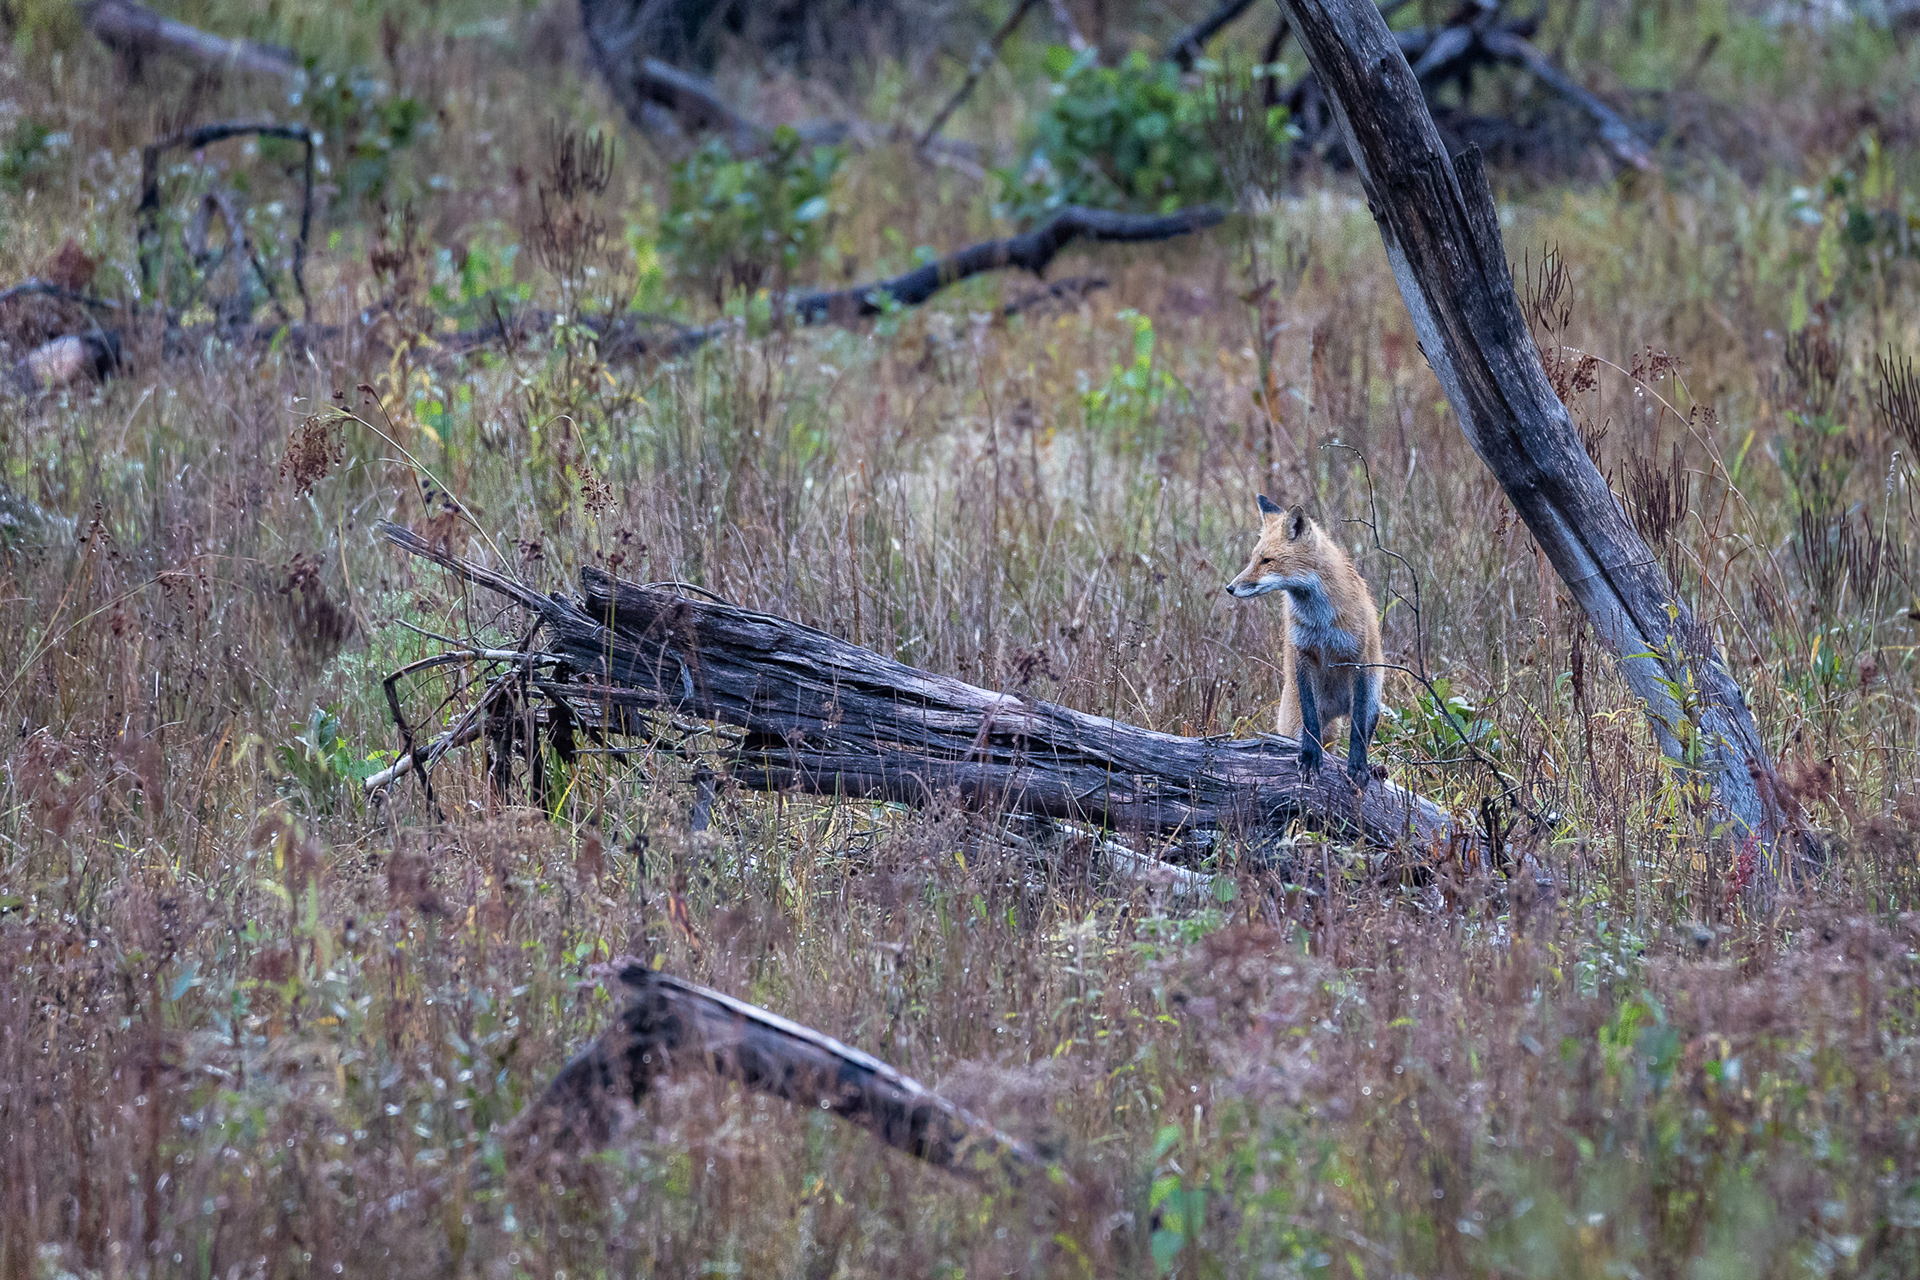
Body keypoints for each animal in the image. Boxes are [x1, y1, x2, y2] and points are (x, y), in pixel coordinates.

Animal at [1224, 495, 1385, 786]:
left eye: (1267, 560)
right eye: (1253, 559)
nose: (1230, 588)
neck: (1321, 621)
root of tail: (1334, 710)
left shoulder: (1358, 659)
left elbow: (1356, 731)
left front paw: (1357, 766)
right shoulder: (1302, 654)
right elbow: (1310, 720)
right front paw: (1310, 757)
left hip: (1373, 703)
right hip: (1292, 722)